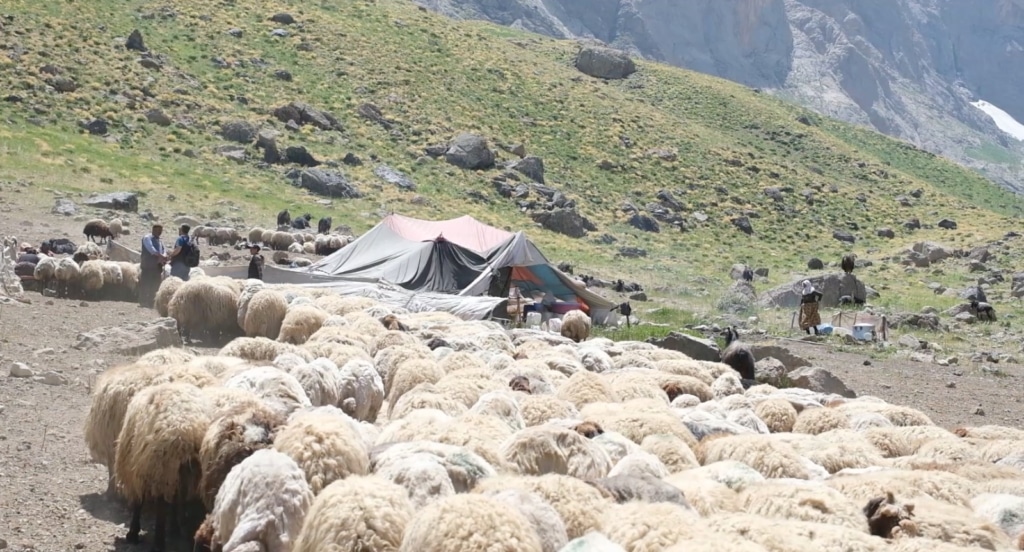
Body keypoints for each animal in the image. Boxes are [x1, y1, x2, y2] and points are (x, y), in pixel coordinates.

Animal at [114, 383, 211, 548]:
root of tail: (187, 432)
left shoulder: (137, 468)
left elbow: (138, 502)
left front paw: (133, 533)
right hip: (179, 471)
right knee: (177, 498)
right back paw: (177, 529)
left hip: (161, 468)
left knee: (161, 506)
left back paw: (159, 542)